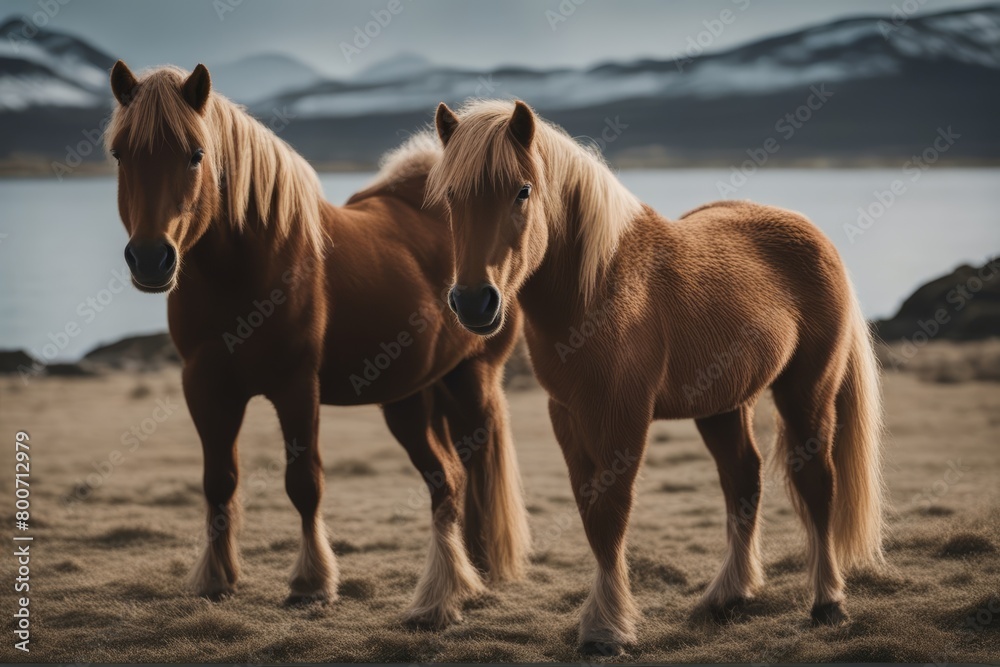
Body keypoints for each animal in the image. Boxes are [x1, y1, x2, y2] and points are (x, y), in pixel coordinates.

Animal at [103, 61, 531, 628]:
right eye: (119, 153)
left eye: (196, 154)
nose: (152, 259)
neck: (249, 267)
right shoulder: (205, 387)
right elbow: (218, 481)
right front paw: (216, 578)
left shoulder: (296, 388)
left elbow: (304, 483)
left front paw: (312, 583)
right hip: (409, 399)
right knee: (449, 480)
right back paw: (463, 574)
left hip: (471, 381)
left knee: (476, 466)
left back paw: (474, 573)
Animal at [427, 99, 886, 654]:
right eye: (451, 195)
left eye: (523, 190)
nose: (475, 302)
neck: (599, 285)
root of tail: (812, 234)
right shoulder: (568, 415)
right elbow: (591, 513)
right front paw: (606, 621)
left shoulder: (623, 416)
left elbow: (610, 515)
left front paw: (605, 629)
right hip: (723, 406)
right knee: (743, 479)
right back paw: (728, 596)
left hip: (806, 393)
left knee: (816, 483)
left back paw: (827, 603)